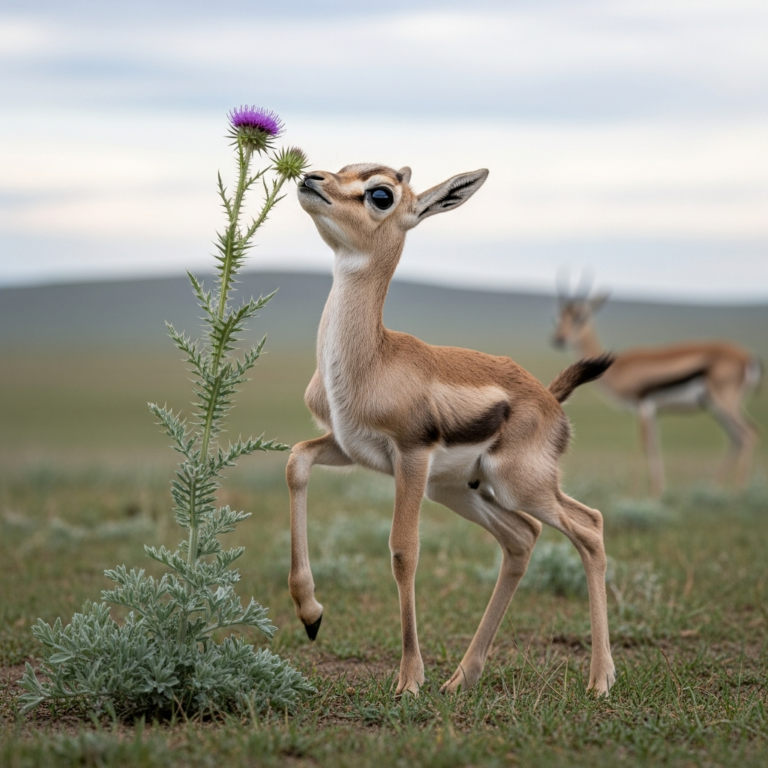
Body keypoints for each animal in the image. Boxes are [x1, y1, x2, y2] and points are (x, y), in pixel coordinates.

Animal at [286, 162, 617, 698]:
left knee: (589, 526)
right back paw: (464, 676)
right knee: (521, 538)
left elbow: (404, 551)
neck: (371, 359)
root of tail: (549, 398)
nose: (310, 179)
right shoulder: (347, 447)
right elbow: (296, 460)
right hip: (457, 490)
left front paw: (408, 679)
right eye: (345, 167)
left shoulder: (411, 456)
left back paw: (601, 679)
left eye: (381, 194)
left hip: (519, 485)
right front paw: (311, 613)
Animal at [553, 286, 761, 497]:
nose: (559, 339)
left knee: (747, 433)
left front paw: (637, 492)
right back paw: (715, 487)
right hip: (714, 406)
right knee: (736, 437)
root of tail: (747, 357)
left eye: (581, 318)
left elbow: (645, 445)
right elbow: (655, 445)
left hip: (723, 403)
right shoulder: (654, 412)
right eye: (559, 318)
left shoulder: (643, 407)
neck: (619, 368)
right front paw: (658, 491)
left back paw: (739, 490)